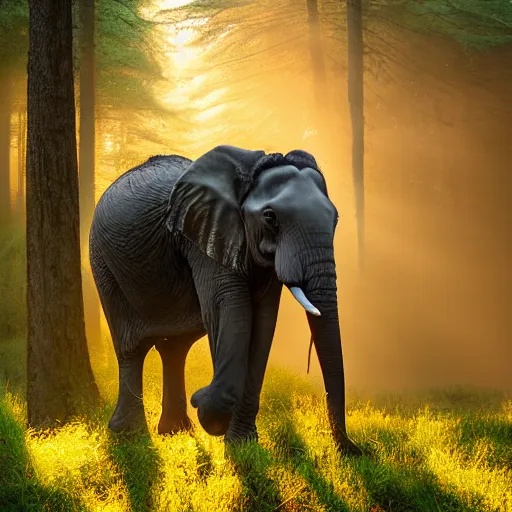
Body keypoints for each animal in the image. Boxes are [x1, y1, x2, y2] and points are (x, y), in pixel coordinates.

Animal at [92, 144, 362, 456]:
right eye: (270, 217)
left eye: (336, 219)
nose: (354, 450)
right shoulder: (204, 235)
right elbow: (230, 310)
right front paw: (207, 410)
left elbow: (263, 323)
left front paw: (241, 445)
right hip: (103, 263)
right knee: (131, 346)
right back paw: (130, 435)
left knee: (174, 348)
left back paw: (174, 431)